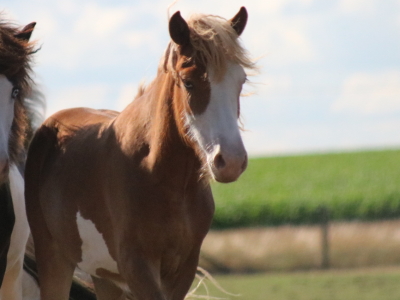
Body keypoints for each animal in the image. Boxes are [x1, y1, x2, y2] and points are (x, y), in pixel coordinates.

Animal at [25, 7, 256, 300]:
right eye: (189, 83)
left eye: (241, 81)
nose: (231, 161)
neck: (163, 177)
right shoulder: (136, 266)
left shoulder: (183, 268)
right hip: (54, 258)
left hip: (104, 275)